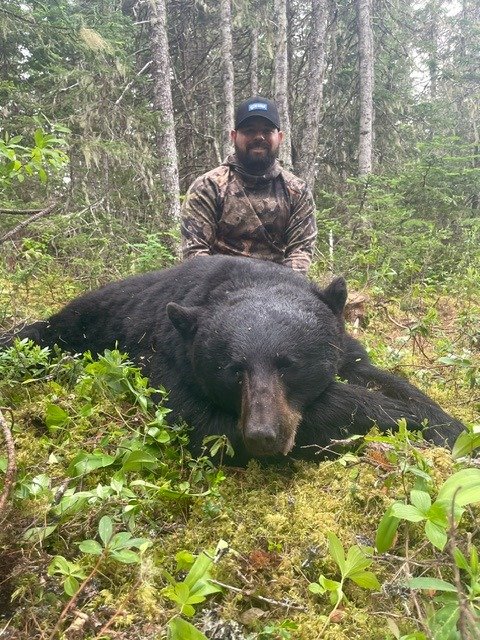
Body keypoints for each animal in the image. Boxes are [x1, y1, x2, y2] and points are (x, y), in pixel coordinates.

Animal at [1, 255, 464, 462]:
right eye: (233, 371)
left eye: (289, 365)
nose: (263, 436)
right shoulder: (169, 367)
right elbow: (209, 426)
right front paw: (395, 417)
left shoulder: (344, 350)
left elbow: (382, 376)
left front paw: (449, 426)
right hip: (76, 326)